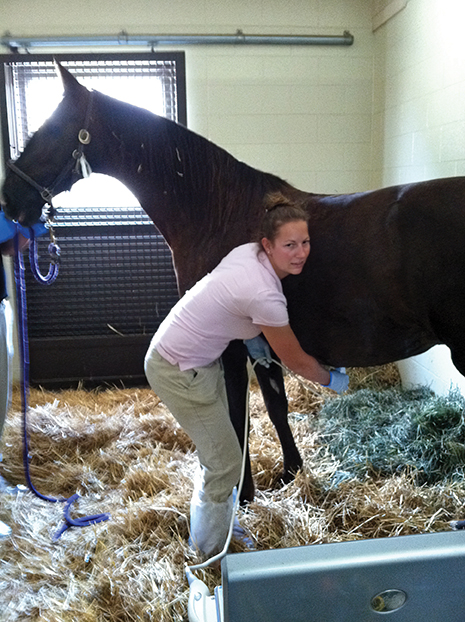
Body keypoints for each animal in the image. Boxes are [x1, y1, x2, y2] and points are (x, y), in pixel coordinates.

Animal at [1, 63, 462, 502]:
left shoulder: (232, 344)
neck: (218, 213)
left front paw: (244, 492)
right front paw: (289, 474)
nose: (10, 200)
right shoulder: (265, 342)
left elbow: (238, 412)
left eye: (51, 130)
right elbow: (275, 406)